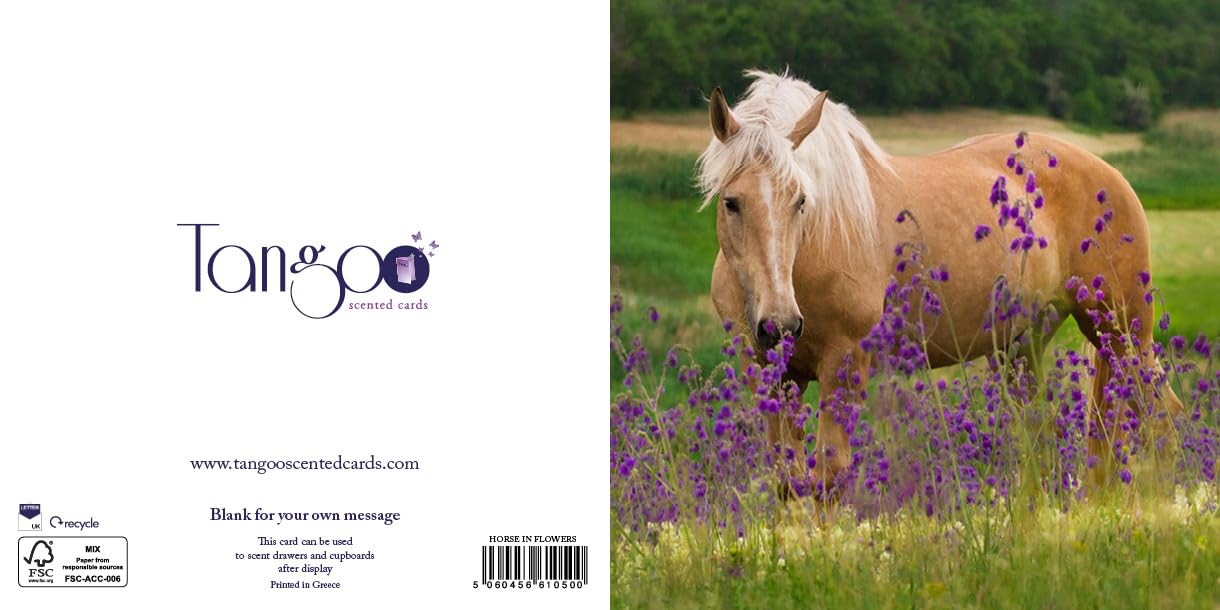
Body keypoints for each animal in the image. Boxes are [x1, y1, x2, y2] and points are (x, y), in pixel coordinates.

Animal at [695, 70, 1183, 494]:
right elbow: (787, 480)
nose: (779, 325)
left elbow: (829, 477)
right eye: (731, 202)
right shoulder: (771, 373)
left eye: (799, 200)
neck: (814, 245)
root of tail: (1110, 177)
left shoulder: (844, 363)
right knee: (1043, 436)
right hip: (1023, 347)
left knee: (1155, 419)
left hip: (1121, 332)